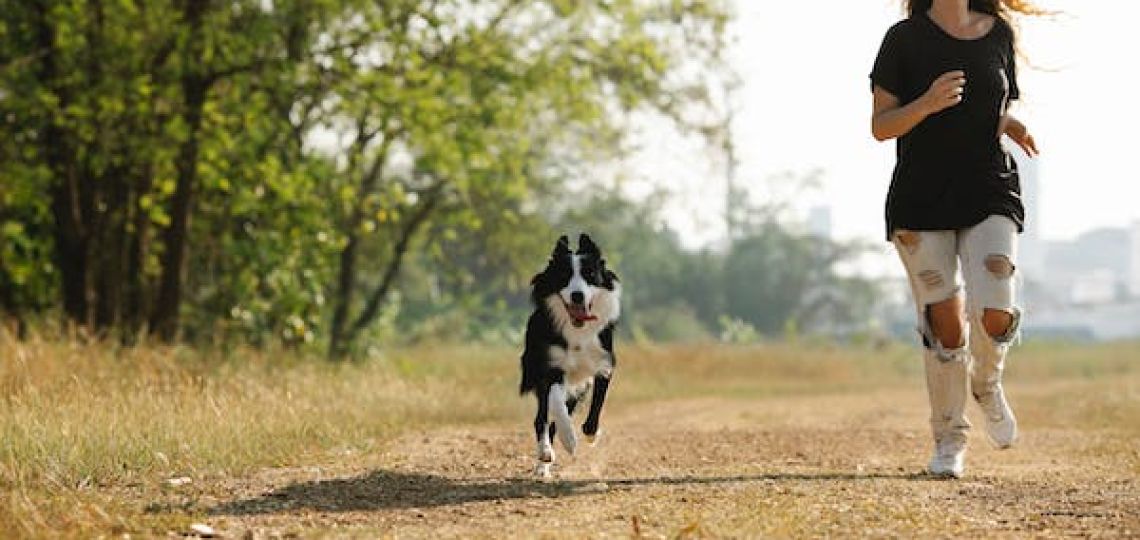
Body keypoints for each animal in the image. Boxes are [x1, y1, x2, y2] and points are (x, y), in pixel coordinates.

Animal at [519, 232, 620, 476]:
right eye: (564, 276)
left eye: (590, 274)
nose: (577, 296)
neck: (577, 331)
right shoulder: (550, 367)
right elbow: (556, 403)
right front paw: (570, 440)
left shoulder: (603, 364)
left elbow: (597, 404)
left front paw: (591, 434)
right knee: (541, 418)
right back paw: (545, 456)